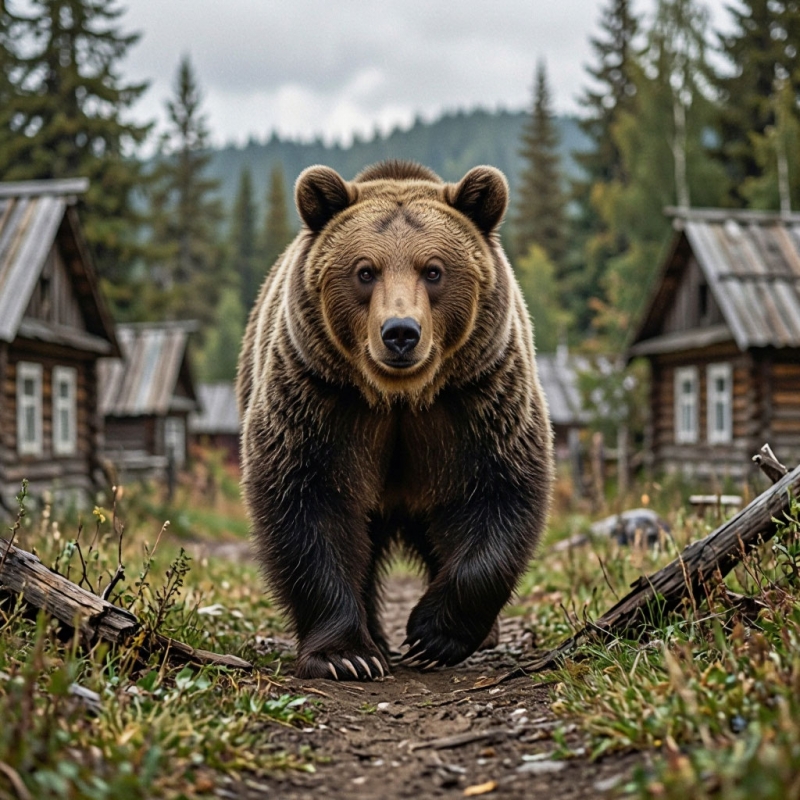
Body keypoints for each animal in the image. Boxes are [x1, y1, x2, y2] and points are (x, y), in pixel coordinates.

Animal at [237, 160, 553, 681]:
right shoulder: (321, 400)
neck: (399, 398)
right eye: (365, 270)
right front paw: (346, 655)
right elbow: (307, 503)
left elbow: (500, 491)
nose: (401, 332)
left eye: (434, 270)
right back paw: (377, 641)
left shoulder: (476, 398)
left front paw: (431, 636)